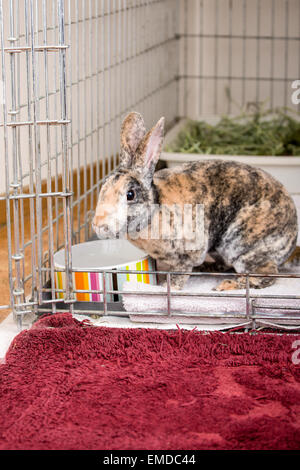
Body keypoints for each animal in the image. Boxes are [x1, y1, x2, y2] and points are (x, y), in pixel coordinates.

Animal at [92, 112, 298, 292]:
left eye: (130, 194)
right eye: (103, 187)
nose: (97, 224)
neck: (155, 210)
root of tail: (293, 237)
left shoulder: (187, 255)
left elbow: (179, 274)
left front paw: (165, 288)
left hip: (242, 246)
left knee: (266, 274)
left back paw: (227, 285)